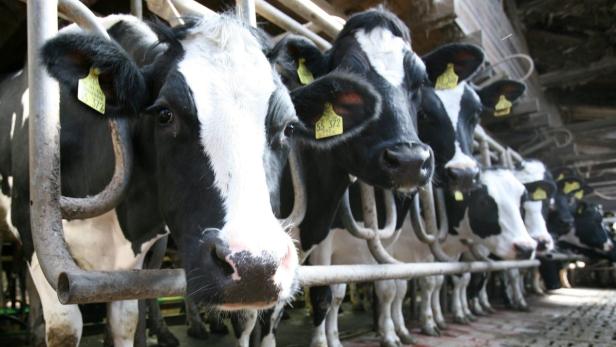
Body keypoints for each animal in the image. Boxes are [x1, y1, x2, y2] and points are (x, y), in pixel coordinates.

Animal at [0, 14, 384, 347]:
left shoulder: (129, 261)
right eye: (165, 114)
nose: (256, 267)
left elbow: (124, 320)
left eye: (289, 127)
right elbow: (66, 327)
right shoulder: (33, 229)